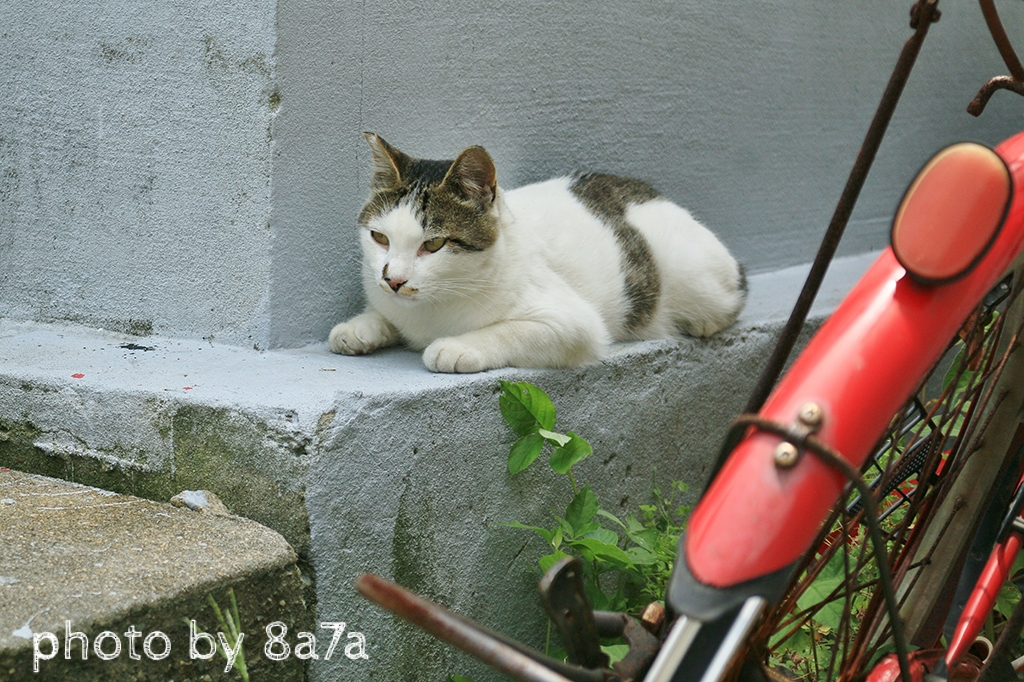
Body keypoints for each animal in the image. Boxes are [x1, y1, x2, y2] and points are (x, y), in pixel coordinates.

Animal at [327, 132, 745, 372]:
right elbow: (382, 313)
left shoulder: (573, 323)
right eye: (379, 238)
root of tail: (655, 194)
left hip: (690, 272)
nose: (394, 279)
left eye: (433, 244)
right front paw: (360, 327)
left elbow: (507, 330)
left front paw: (456, 347)